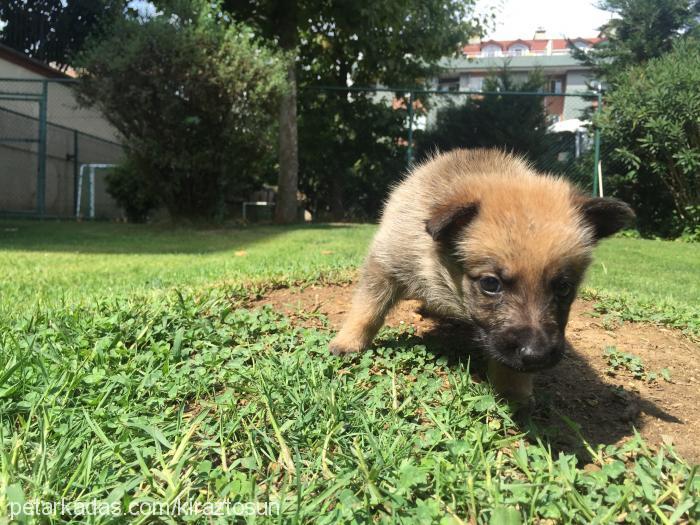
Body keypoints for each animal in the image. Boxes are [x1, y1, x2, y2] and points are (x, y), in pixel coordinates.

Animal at [328, 149, 636, 400]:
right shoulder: (385, 264)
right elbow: (368, 308)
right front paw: (348, 341)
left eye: (563, 287)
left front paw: (512, 387)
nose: (537, 356)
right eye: (490, 284)